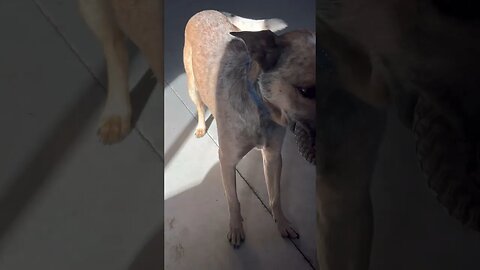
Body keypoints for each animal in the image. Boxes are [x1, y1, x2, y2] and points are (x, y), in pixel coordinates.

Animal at [183, 10, 316, 247]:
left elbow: (275, 196)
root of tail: (204, 11)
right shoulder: (226, 161)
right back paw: (199, 127)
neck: (262, 111)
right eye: (306, 91)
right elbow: (233, 200)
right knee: (199, 106)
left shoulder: (273, 156)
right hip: (192, 85)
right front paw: (236, 228)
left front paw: (282, 223)